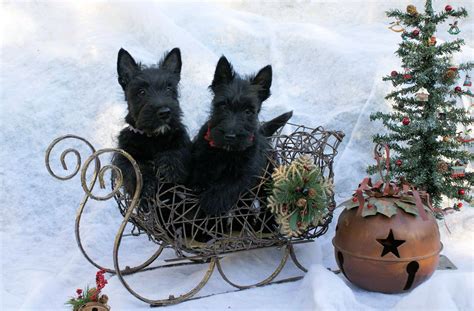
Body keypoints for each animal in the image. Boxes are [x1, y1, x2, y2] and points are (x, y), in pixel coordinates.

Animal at [112, 48, 190, 205]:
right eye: (141, 91)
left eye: (169, 88)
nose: (165, 112)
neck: (153, 137)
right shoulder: (124, 153)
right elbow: (133, 167)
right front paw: (146, 186)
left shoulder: (183, 139)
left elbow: (180, 150)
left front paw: (170, 167)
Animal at [189, 56, 292, 217]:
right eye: (223, 105)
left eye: (248, 111)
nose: (230, 136)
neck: (226, 151)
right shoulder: (200, 154)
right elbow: (200, 169)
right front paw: (199, 185)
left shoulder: (246, 171)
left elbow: (230, 184)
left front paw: (212, 201)